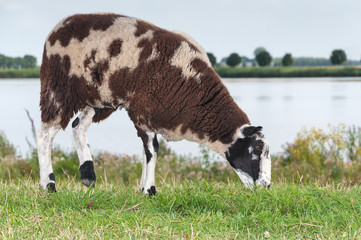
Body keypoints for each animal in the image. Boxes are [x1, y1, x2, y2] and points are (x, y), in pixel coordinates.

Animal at [38, 13, 270, 194]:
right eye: (258, 147)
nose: (267, 187)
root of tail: (59, 26)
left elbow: (146, 150)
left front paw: (142, 188)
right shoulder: (144, 111)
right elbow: (153, 150)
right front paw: (149, 189)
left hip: (100, 98)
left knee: (78, 127)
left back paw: (88, 175)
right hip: (59, 89)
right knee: (45, 134)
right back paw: (48, 184)